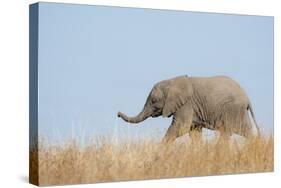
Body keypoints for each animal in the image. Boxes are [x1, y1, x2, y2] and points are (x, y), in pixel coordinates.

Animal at [116, 75, 258, 143]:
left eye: (153, 101)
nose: (117, 113)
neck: (171, 82)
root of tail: (247, 97)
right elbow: (193, 132)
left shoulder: (186, 105)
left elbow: (180, 127)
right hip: (239, 112)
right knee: (246, 132)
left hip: (232, 109)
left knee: (227, 132)